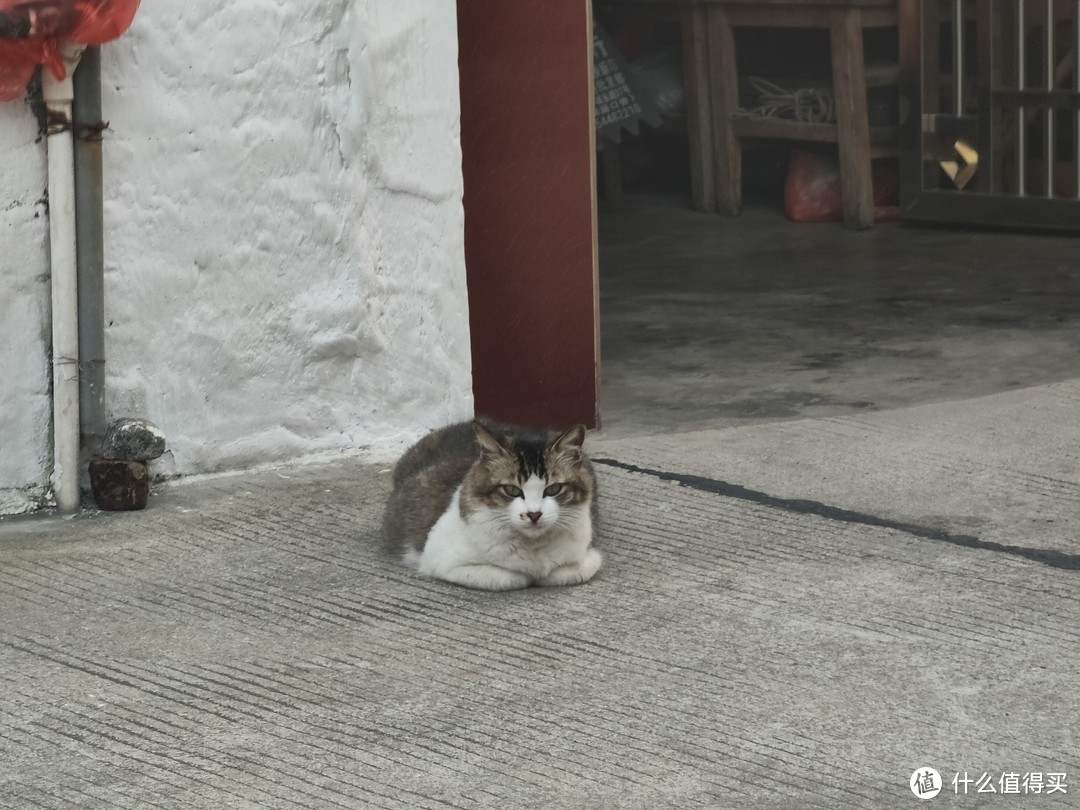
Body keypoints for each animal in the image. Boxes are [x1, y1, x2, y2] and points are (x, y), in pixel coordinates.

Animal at [380, 421, 600, 591]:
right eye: (511, 490)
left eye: (554, 489)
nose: (534, 514)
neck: (532, 546)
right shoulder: (443, 561)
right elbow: (513, 577)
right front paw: (527, 575)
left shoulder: (588, 559)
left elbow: (564, 573)